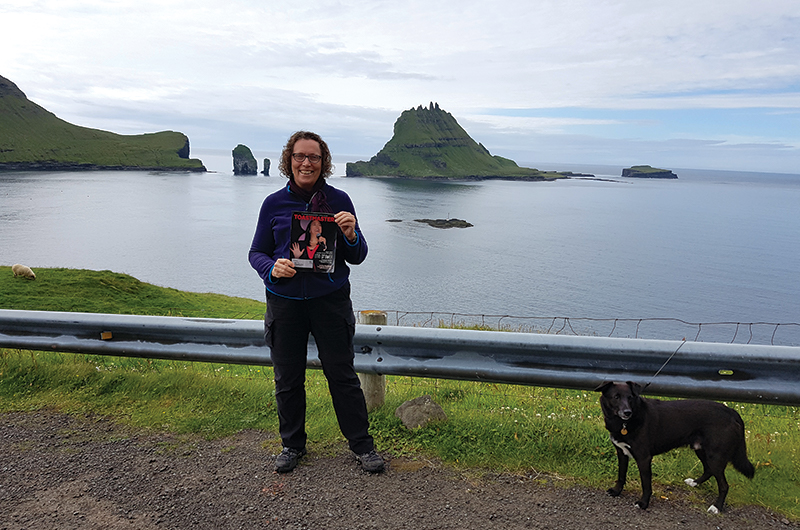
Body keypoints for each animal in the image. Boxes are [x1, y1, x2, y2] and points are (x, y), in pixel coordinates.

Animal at [592, 380, 756, 512]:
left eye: (630, 397)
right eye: (616, 397)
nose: (627, 412)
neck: (625, 423)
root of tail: (732, 412)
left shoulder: (644, 458)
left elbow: (646, 484)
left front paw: (644, 503)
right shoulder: (621, 452)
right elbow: (621, 475)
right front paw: (616, 491)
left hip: (714, 455)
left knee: (724, 485)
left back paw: (717, 507)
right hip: (701, 449)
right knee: (708, 469)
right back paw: (695, 483)